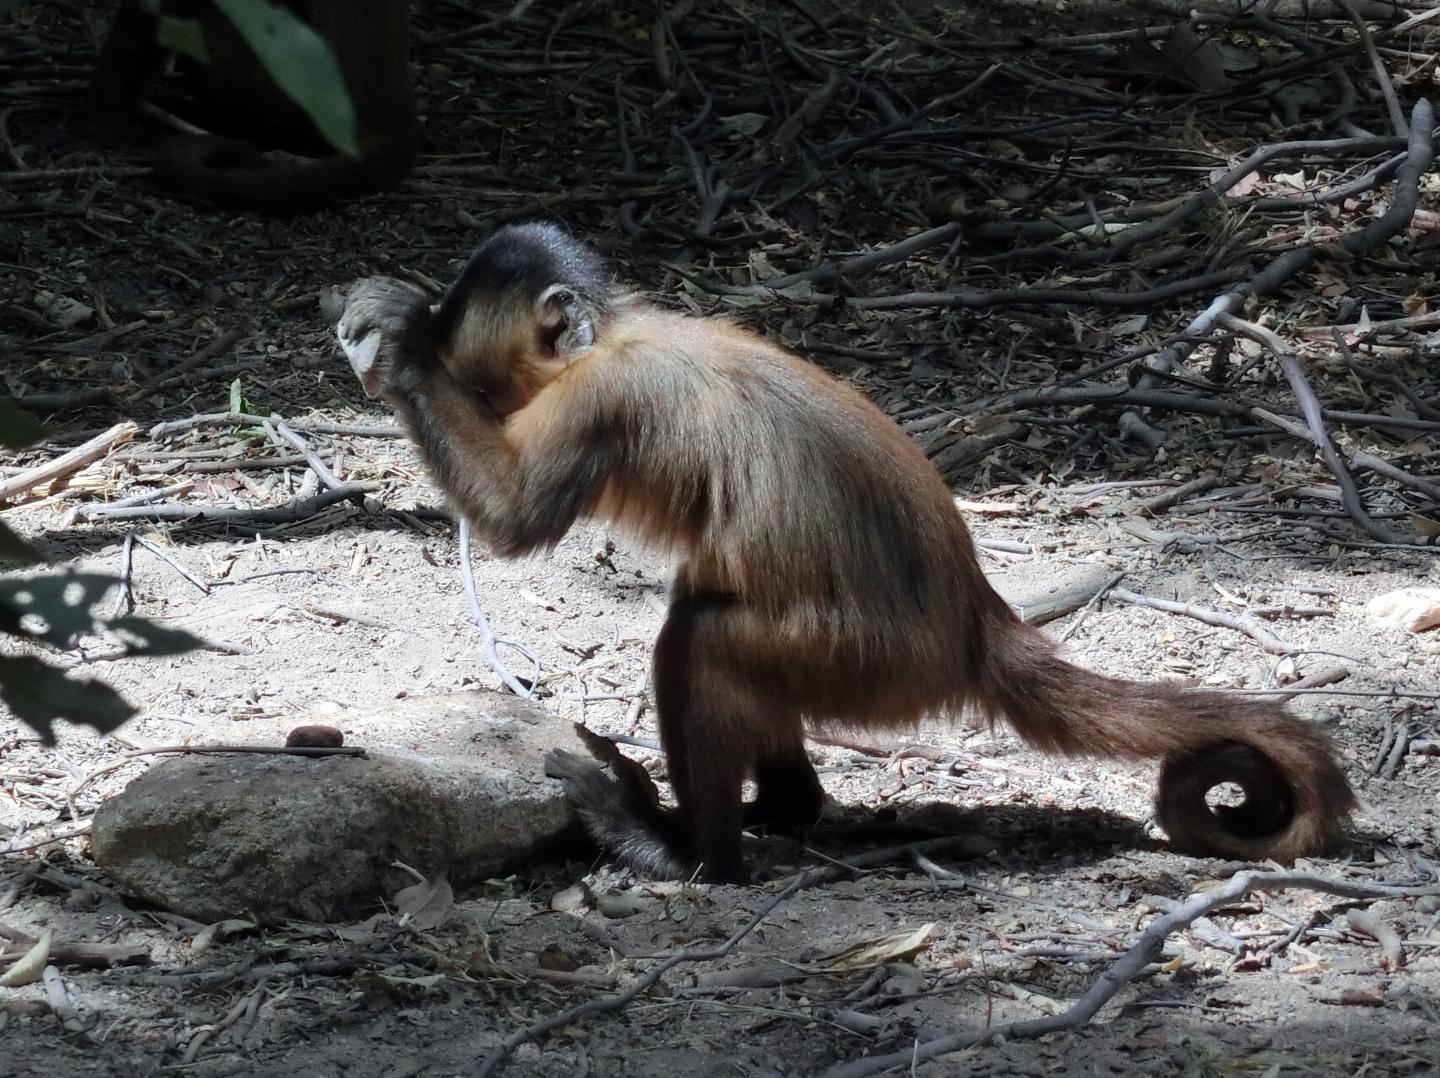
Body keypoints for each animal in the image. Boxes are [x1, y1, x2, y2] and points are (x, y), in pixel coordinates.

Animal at [327, 222, 1356, 883]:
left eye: (469, 370)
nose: (468, 388)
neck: (612, 334)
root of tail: (978, 623)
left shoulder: (600, 397)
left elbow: (513, 522)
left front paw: (397, 343)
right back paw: (781, 810)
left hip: (869, 667)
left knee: (701, 637)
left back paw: (697, 857)